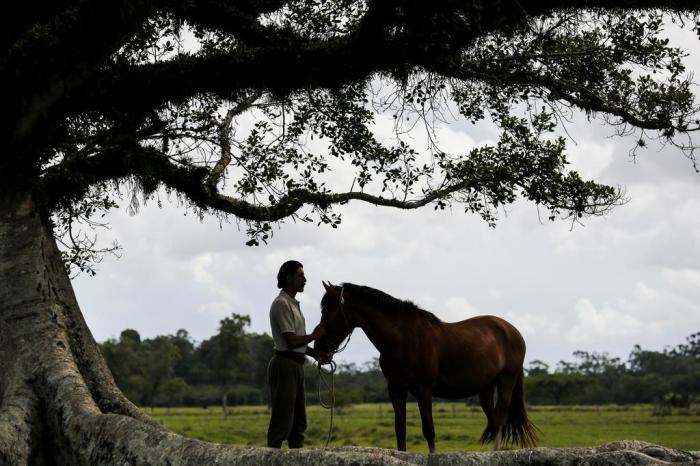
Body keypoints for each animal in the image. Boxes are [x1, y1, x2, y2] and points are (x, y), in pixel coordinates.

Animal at [314, 282, 540, 454]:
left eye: (327, 311)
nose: (319, 349)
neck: (402, 339)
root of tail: (514, 331)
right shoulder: (396, 389)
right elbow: (400, 428)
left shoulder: (423, 389)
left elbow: (429, 430)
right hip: (485, 389)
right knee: (493, 421)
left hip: (506, 381)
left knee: (500, 419)